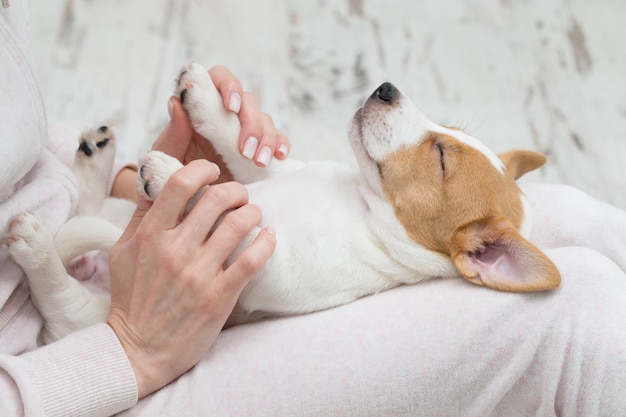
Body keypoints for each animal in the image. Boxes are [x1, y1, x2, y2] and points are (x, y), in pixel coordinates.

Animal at [4, 61, 560, 342]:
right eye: (446, 130)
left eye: (441, 156)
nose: (385, 88)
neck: (358, 204)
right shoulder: (273, 168)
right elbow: (237, 141)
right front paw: (206, 97)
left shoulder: (274, 266)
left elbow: (234, 213)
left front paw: (178, 179)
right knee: (89, 212)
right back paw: (96, 159)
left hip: (89, 314)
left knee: (63, 304)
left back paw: (35, 245)